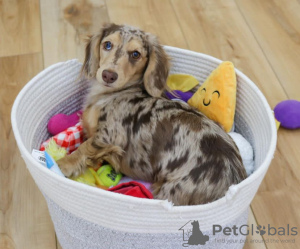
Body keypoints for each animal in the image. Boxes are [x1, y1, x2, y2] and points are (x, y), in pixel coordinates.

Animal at [56, 23, 246, 205]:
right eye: (107, 44)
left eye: (135, 54)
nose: (108, 75)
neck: (113, 94)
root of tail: (236, 181)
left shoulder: (107, 137)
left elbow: (84, 147)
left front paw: (62, 164)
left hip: (171, 191)